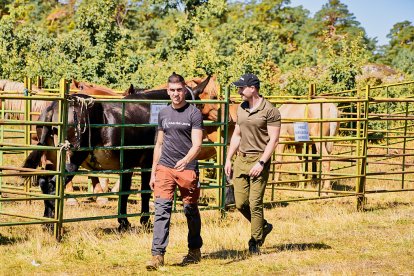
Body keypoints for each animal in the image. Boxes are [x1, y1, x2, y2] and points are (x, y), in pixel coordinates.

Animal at [21, 76, 212, 230]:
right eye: (200, 105)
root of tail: (54, 107)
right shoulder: (145, 163)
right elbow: (139, 191)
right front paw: (139, 221)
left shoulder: (128, 165)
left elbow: (126, 191)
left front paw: (125, 221)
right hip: (72, 160)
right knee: (53, 184)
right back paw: (51, 223)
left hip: (52, 160)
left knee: (45, 182)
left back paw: (46, 220)